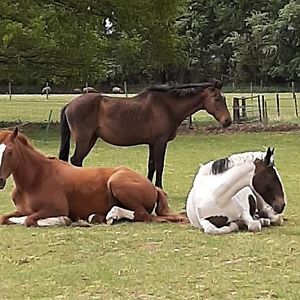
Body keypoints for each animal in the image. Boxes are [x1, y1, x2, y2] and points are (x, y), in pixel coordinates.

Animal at [0, 127, 188, 227]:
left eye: (9, 152)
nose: (0, 181)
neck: (35, 179)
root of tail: (153, 187)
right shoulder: (21, 209)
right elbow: (5, 218)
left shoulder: (56, 207)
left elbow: (29, 219)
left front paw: (63, 219)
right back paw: (99, 217)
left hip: (117, 183)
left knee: (143, 215)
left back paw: (111, 214)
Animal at [59, 79, 232, 188]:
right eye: (217, 98)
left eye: (223, 98)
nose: (228, 121)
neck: (167, 106)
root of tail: (69, 104)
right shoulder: (160, 142)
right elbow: (159, 166)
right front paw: (159, 188)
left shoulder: (152, 143)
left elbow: (151, 165)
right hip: (84, 139)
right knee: (76, 160)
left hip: (91, 139)